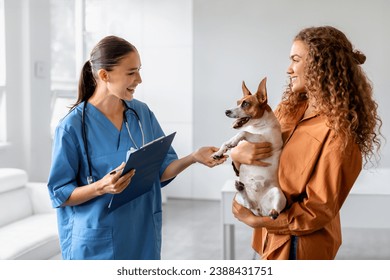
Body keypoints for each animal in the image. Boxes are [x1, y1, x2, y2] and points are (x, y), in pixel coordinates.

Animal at [213, 77, 286, 220]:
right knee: (249, 204)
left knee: (274, 212)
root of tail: (259, 208)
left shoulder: (267, 141)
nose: (226, 111)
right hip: (240, 199)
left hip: (277, 193)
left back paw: (273, 212)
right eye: (237, 102)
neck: (257, 126)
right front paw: (220, 152)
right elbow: (227, 142)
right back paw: (241, 189)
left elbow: (243, 133)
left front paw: (234, 141)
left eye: (245, 104)